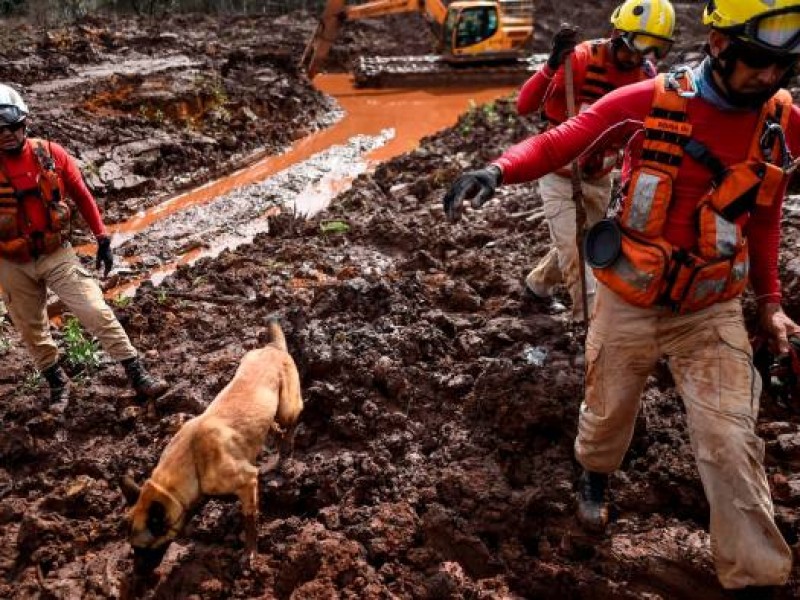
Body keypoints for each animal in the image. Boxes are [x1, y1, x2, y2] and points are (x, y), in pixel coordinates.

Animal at [119, 316, 304, 576]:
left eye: (143, 549)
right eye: (133, 549)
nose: (135, 575)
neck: (192, 462)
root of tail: (272, 348)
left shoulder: (247, 481)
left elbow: (250, 520)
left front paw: (250, 554)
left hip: (287, 407)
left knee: (292, 421)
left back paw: (286, 449)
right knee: (274, 427)